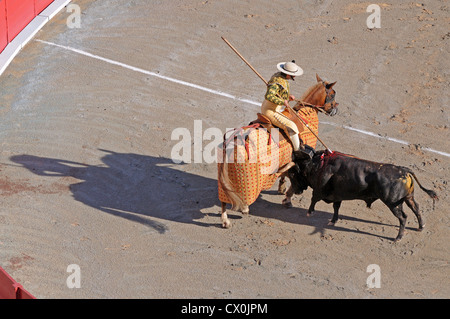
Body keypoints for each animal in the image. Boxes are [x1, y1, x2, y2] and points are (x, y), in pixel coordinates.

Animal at [217, 74, 338, 229]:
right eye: (332, 94)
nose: (335, 109)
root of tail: (233, 141)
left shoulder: (287, 159)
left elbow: (284, 173)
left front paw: (281, 188)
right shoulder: (299, 162)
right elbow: (292, 178)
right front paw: (288, 199)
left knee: (224, 197)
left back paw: (228, 219)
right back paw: (236, 214)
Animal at [284, 151, 438, 242]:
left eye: (293, 173)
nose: (296, 191)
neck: (319, 164)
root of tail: (404, 170)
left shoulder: (319, 190)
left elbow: (314, 199)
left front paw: (309, 213)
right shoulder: (338, 195)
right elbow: (336, 207)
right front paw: (333, 221)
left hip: (393, 203)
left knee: (403, 217)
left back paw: (398, 237)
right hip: (409, 198)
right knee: (416, 208)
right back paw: (421, 227)